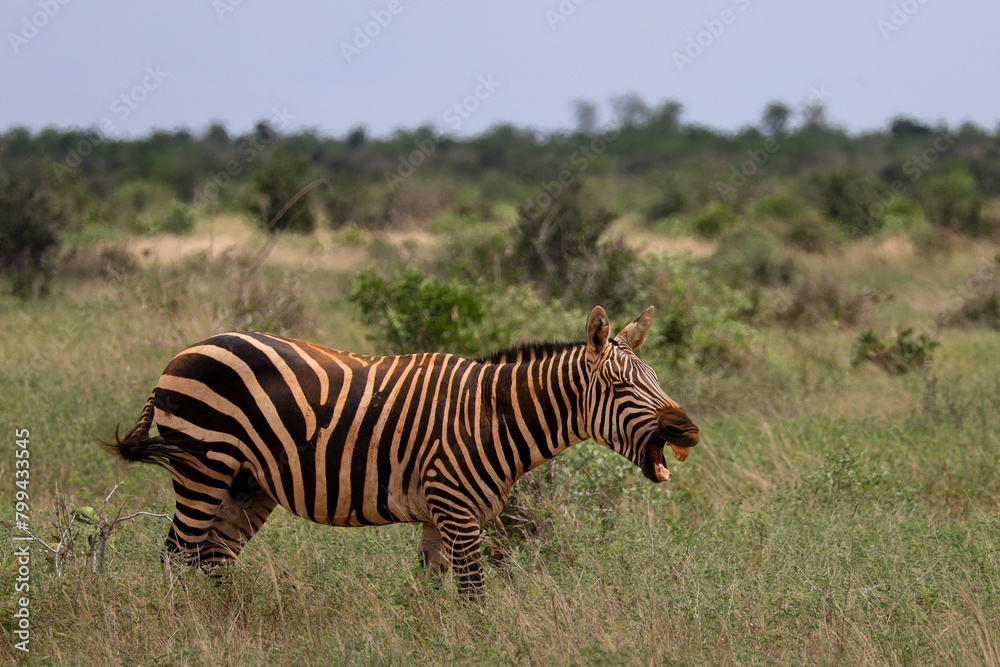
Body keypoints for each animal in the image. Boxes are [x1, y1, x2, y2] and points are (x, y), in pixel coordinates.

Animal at [105, 305, 700, 598]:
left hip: (246, 484)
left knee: (213, 558)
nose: (690, 431)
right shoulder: (458, 511)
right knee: (176, 555)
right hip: (202, 465)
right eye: (623, 388)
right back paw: (185, 628)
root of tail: (186, 350)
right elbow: (474, 596)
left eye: (656, 377)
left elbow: (431, 596)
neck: (493, 416)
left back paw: (227, 628)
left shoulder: (442, 515)